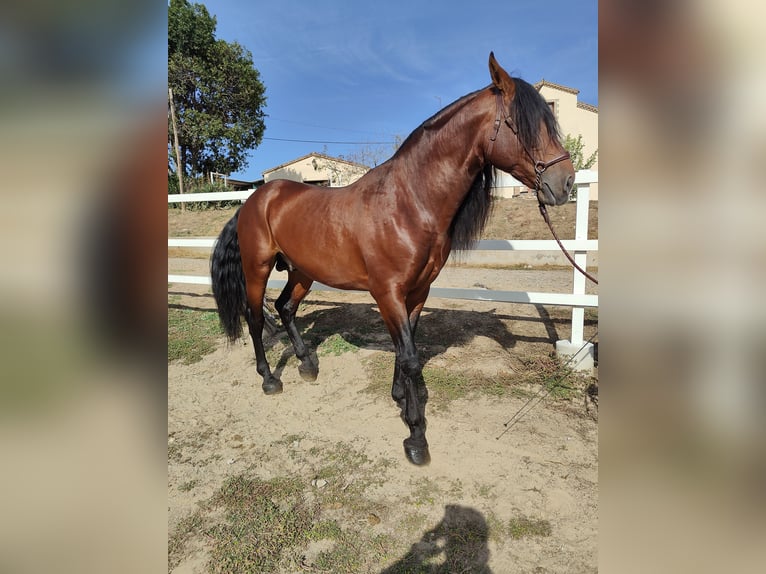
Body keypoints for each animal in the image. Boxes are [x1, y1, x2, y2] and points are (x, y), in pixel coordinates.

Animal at [212, 53, 576, 468]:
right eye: (523, 124)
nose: (566, 183)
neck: (409, 202)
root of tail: (255, 199)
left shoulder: (418, 291)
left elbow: (407, 351)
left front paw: (401, 400)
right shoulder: (388, 293)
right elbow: (411, 356)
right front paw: (416, 436)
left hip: (303, 271)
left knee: (285, 307)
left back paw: (307, 364)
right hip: (257, 268)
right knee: (256, 318)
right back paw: (270, 379)